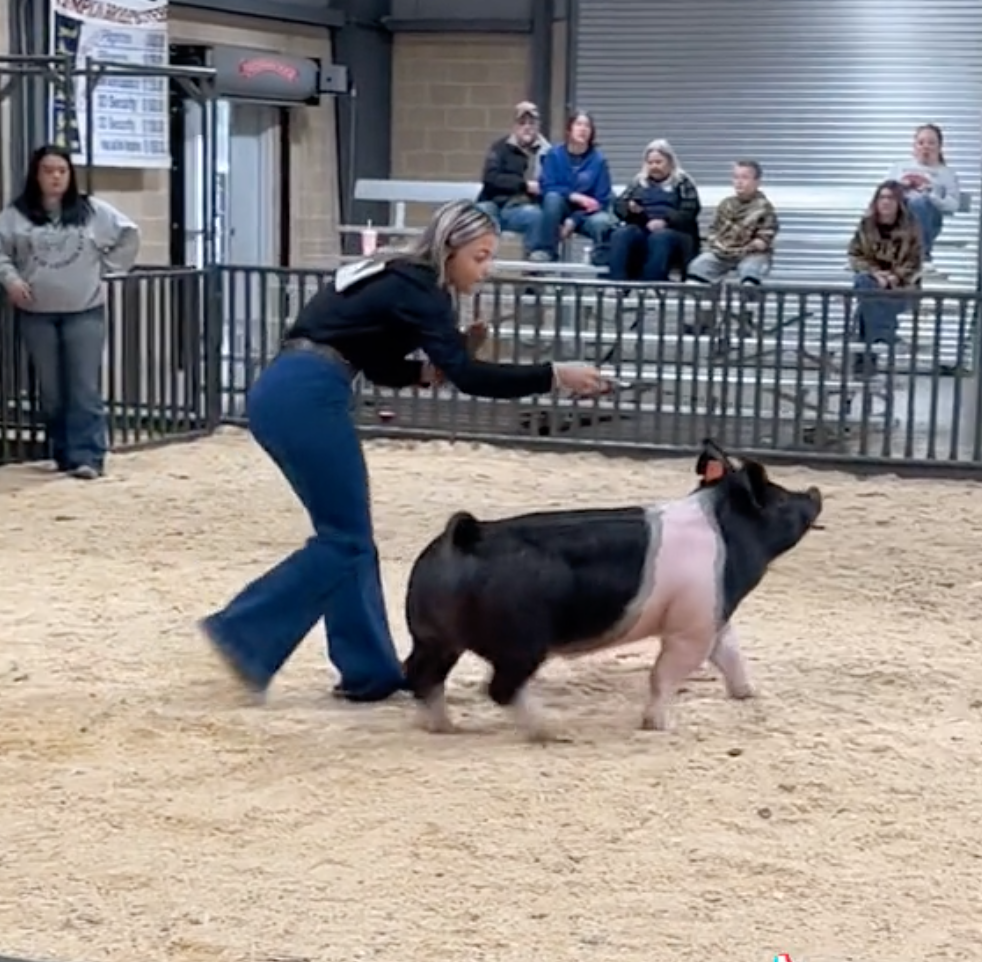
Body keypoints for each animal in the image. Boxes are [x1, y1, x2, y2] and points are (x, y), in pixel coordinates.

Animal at [400, 438, 824, 740]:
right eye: (781, 497)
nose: (815, 491)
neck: (727, 533)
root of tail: (465, 536)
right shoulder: (692, 625)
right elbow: (666, 674)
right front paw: (659, 726)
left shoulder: (714, 614)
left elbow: (731, 653)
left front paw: (748, 694)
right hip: (520, 640)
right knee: (499, 688)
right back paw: (553, 731)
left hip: (434, 635)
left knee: (420, 674)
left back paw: (445, 727)